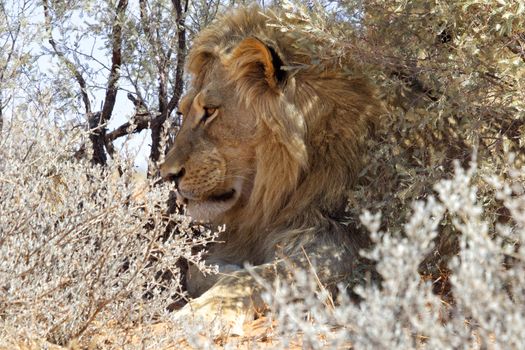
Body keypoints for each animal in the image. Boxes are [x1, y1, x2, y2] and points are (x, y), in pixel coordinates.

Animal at [158, 6, 382, 336]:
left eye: (210, 111)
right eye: (183, 112)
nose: (167, 175)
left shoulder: (343, 240)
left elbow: (256, 277)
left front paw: (201, 311)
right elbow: (199, 268)